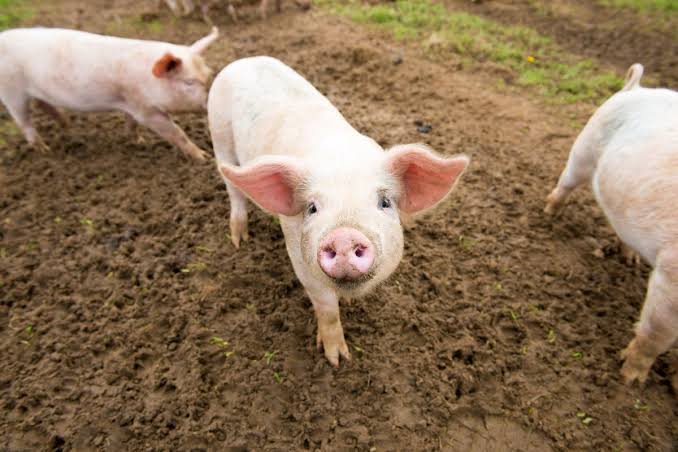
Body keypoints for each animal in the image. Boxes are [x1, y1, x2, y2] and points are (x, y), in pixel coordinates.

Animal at [0, 26, 219, 161]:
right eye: (189, 82)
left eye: (208, 74)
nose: (211, 102)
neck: (149, 80)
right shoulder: (145, 109)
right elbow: (176, 132)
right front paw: (204, 157)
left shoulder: (131, 103)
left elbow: (131, 123)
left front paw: (139, 142)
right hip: (12, 93)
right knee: (24, 122)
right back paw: (45, 150)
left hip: (37, 92)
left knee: (43, 105)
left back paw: (68, 128)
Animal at [208, 56, 469, 366]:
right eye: (312, 207)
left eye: (384, 202)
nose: (344, 236)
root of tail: (243, 60)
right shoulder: (300, 259)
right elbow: (327, 309)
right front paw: (337, 360)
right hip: (219, 134)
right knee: (232, 187)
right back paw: (240, 239)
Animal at [545, 63, 678, 391]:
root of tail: (637, 87)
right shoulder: (671, 273)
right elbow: (656, 334)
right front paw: (630, 381)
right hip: (583, 149)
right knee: (565, 184)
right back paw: (549, 214)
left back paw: (630, 261)